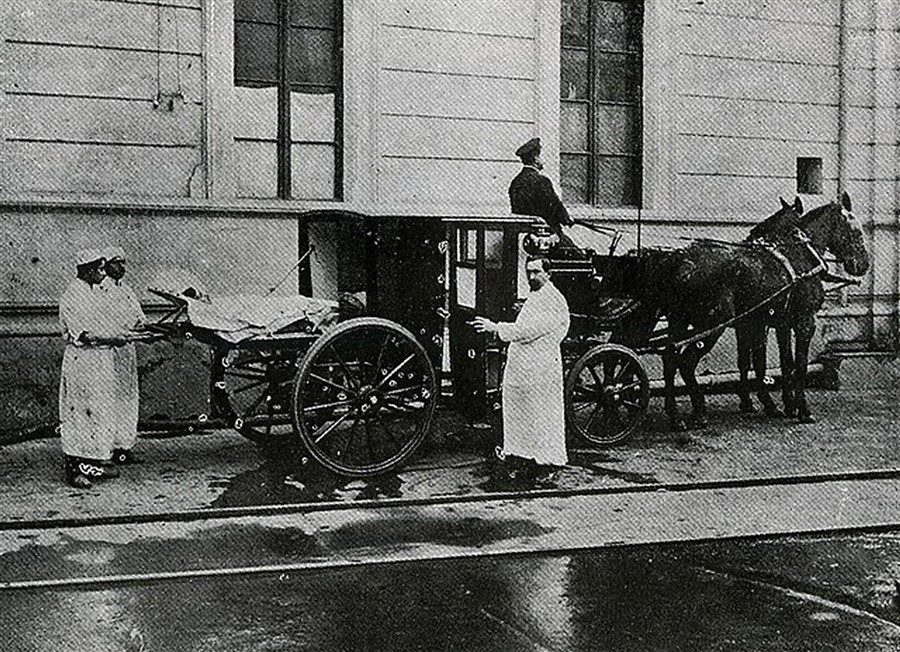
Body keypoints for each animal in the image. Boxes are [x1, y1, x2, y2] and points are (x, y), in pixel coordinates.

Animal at [736, 190, 868, 422]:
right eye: (856, 230)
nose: (864, 265)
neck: (800, 257)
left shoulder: (781, 324)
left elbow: (785, 361)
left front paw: (789, 404)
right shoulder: (804, 322)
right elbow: (799, 363)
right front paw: (802, 409)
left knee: (744, 358)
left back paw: (749, 402)